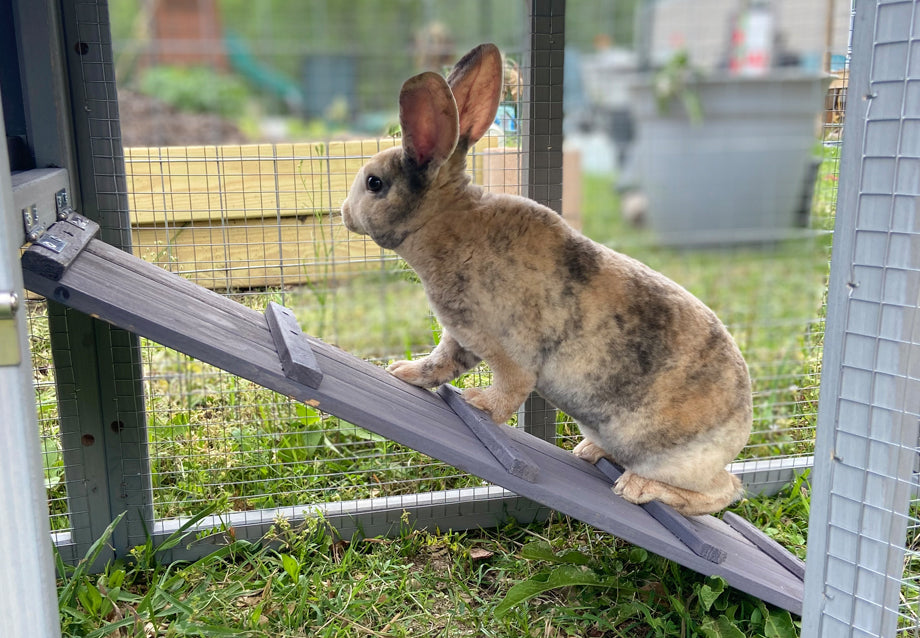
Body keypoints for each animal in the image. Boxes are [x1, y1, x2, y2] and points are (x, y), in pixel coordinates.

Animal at [341, 43, 752, 516]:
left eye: (374, 183)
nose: (343, 213)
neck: (448, 223)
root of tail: (740, 432)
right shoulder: (461, 337)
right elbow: (439, 364)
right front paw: (403, 372)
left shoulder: (509, 352)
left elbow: (510, 388)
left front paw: (479, 403)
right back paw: (591, 452)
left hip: (671, 458)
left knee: (722, 492)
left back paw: (636, 487)